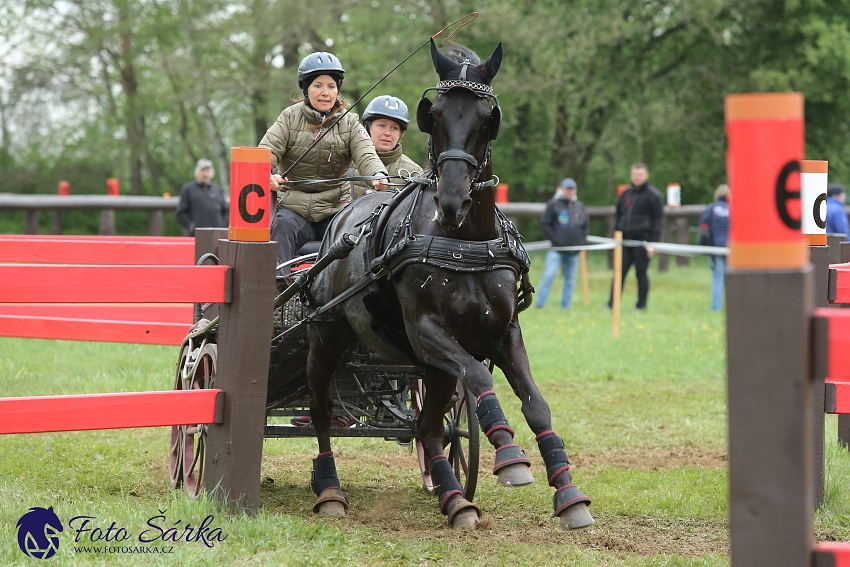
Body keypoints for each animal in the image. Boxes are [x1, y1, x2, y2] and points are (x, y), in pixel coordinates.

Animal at [268, 41, 592, 532]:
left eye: (488, 115)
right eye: (434, 114)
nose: (453, 201)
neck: (464, 240)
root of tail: (340, 223)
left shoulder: (501, 333)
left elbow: (536, 404)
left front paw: (568, 493)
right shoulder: (428, 333)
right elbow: (480, 376)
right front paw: (510, 456)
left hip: (430, 367)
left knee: (429, 428)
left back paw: (455, 499)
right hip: (326, 337)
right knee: (323, 412)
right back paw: (329, 490)